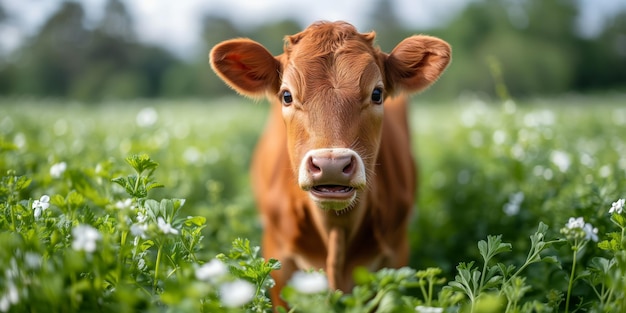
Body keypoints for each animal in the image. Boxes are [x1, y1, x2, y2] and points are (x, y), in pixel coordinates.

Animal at [210, 20, 448, 304]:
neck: (336, 232)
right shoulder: (278, 259)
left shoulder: (396, 255)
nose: (331, 164)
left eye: (377, 93)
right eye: (287, 95)